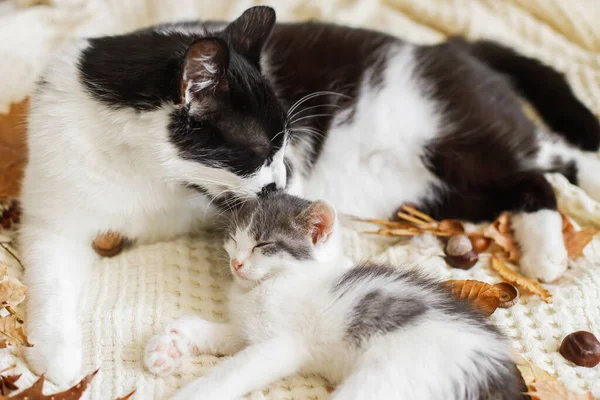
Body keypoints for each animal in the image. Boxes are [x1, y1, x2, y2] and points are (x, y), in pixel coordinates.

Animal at [143, 192, 528, 398]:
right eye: (234, 240)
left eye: (262, 245)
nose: (236, 263)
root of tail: (496, 367)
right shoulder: (250, 330)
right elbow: (231, 333)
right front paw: (174, 340)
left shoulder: (282, 344)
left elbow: (233, 371)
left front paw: (191, 391)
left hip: (387, 379)